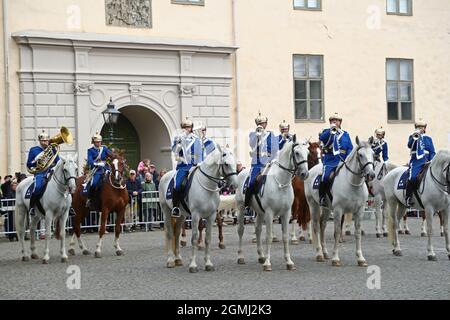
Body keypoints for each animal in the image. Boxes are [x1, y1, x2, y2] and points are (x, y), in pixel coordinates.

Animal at [236, 136, 310, 272]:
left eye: (307, 152)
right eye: (297, 153)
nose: (305, 174)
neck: (280, 181)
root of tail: (241, 173)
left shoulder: (286, 213)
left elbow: (285, 237)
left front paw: (289, 262)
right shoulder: (270, 213)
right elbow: (269, 237)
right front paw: (267, 263)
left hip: (260, 212)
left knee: (258, 230)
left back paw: (261, 256)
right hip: (241, 208)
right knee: (241, 230)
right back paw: (241, 256)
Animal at [306, 136, 376, 266]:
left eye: (373, 154)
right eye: (360, 155)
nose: (371, 175)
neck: (352, 182)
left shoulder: (359, 210)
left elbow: (357, 232)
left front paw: (360, 258)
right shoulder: (339, 210)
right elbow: (337, 232)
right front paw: (336, 259)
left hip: (326, 208)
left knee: (322, 225)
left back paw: (325, 253)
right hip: (313, 205)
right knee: (316, 226)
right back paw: (319, 254)